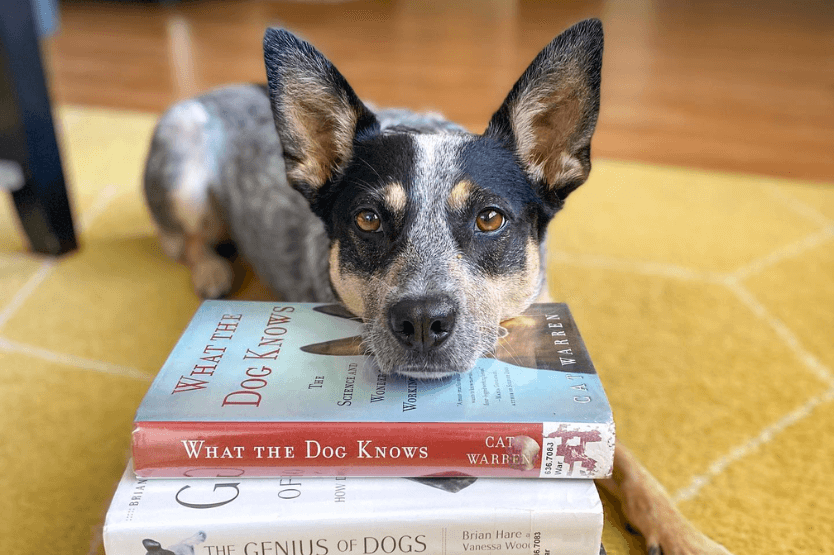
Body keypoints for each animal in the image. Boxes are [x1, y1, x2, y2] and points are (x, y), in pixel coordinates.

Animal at [146, 18, 732, 555]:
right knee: (187, 239)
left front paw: (684, 534)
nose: (423, 321)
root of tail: (217, 90)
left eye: (490, 218)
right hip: (183, 165)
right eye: (367, 220)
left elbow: (629, 461)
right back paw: (211, 270)